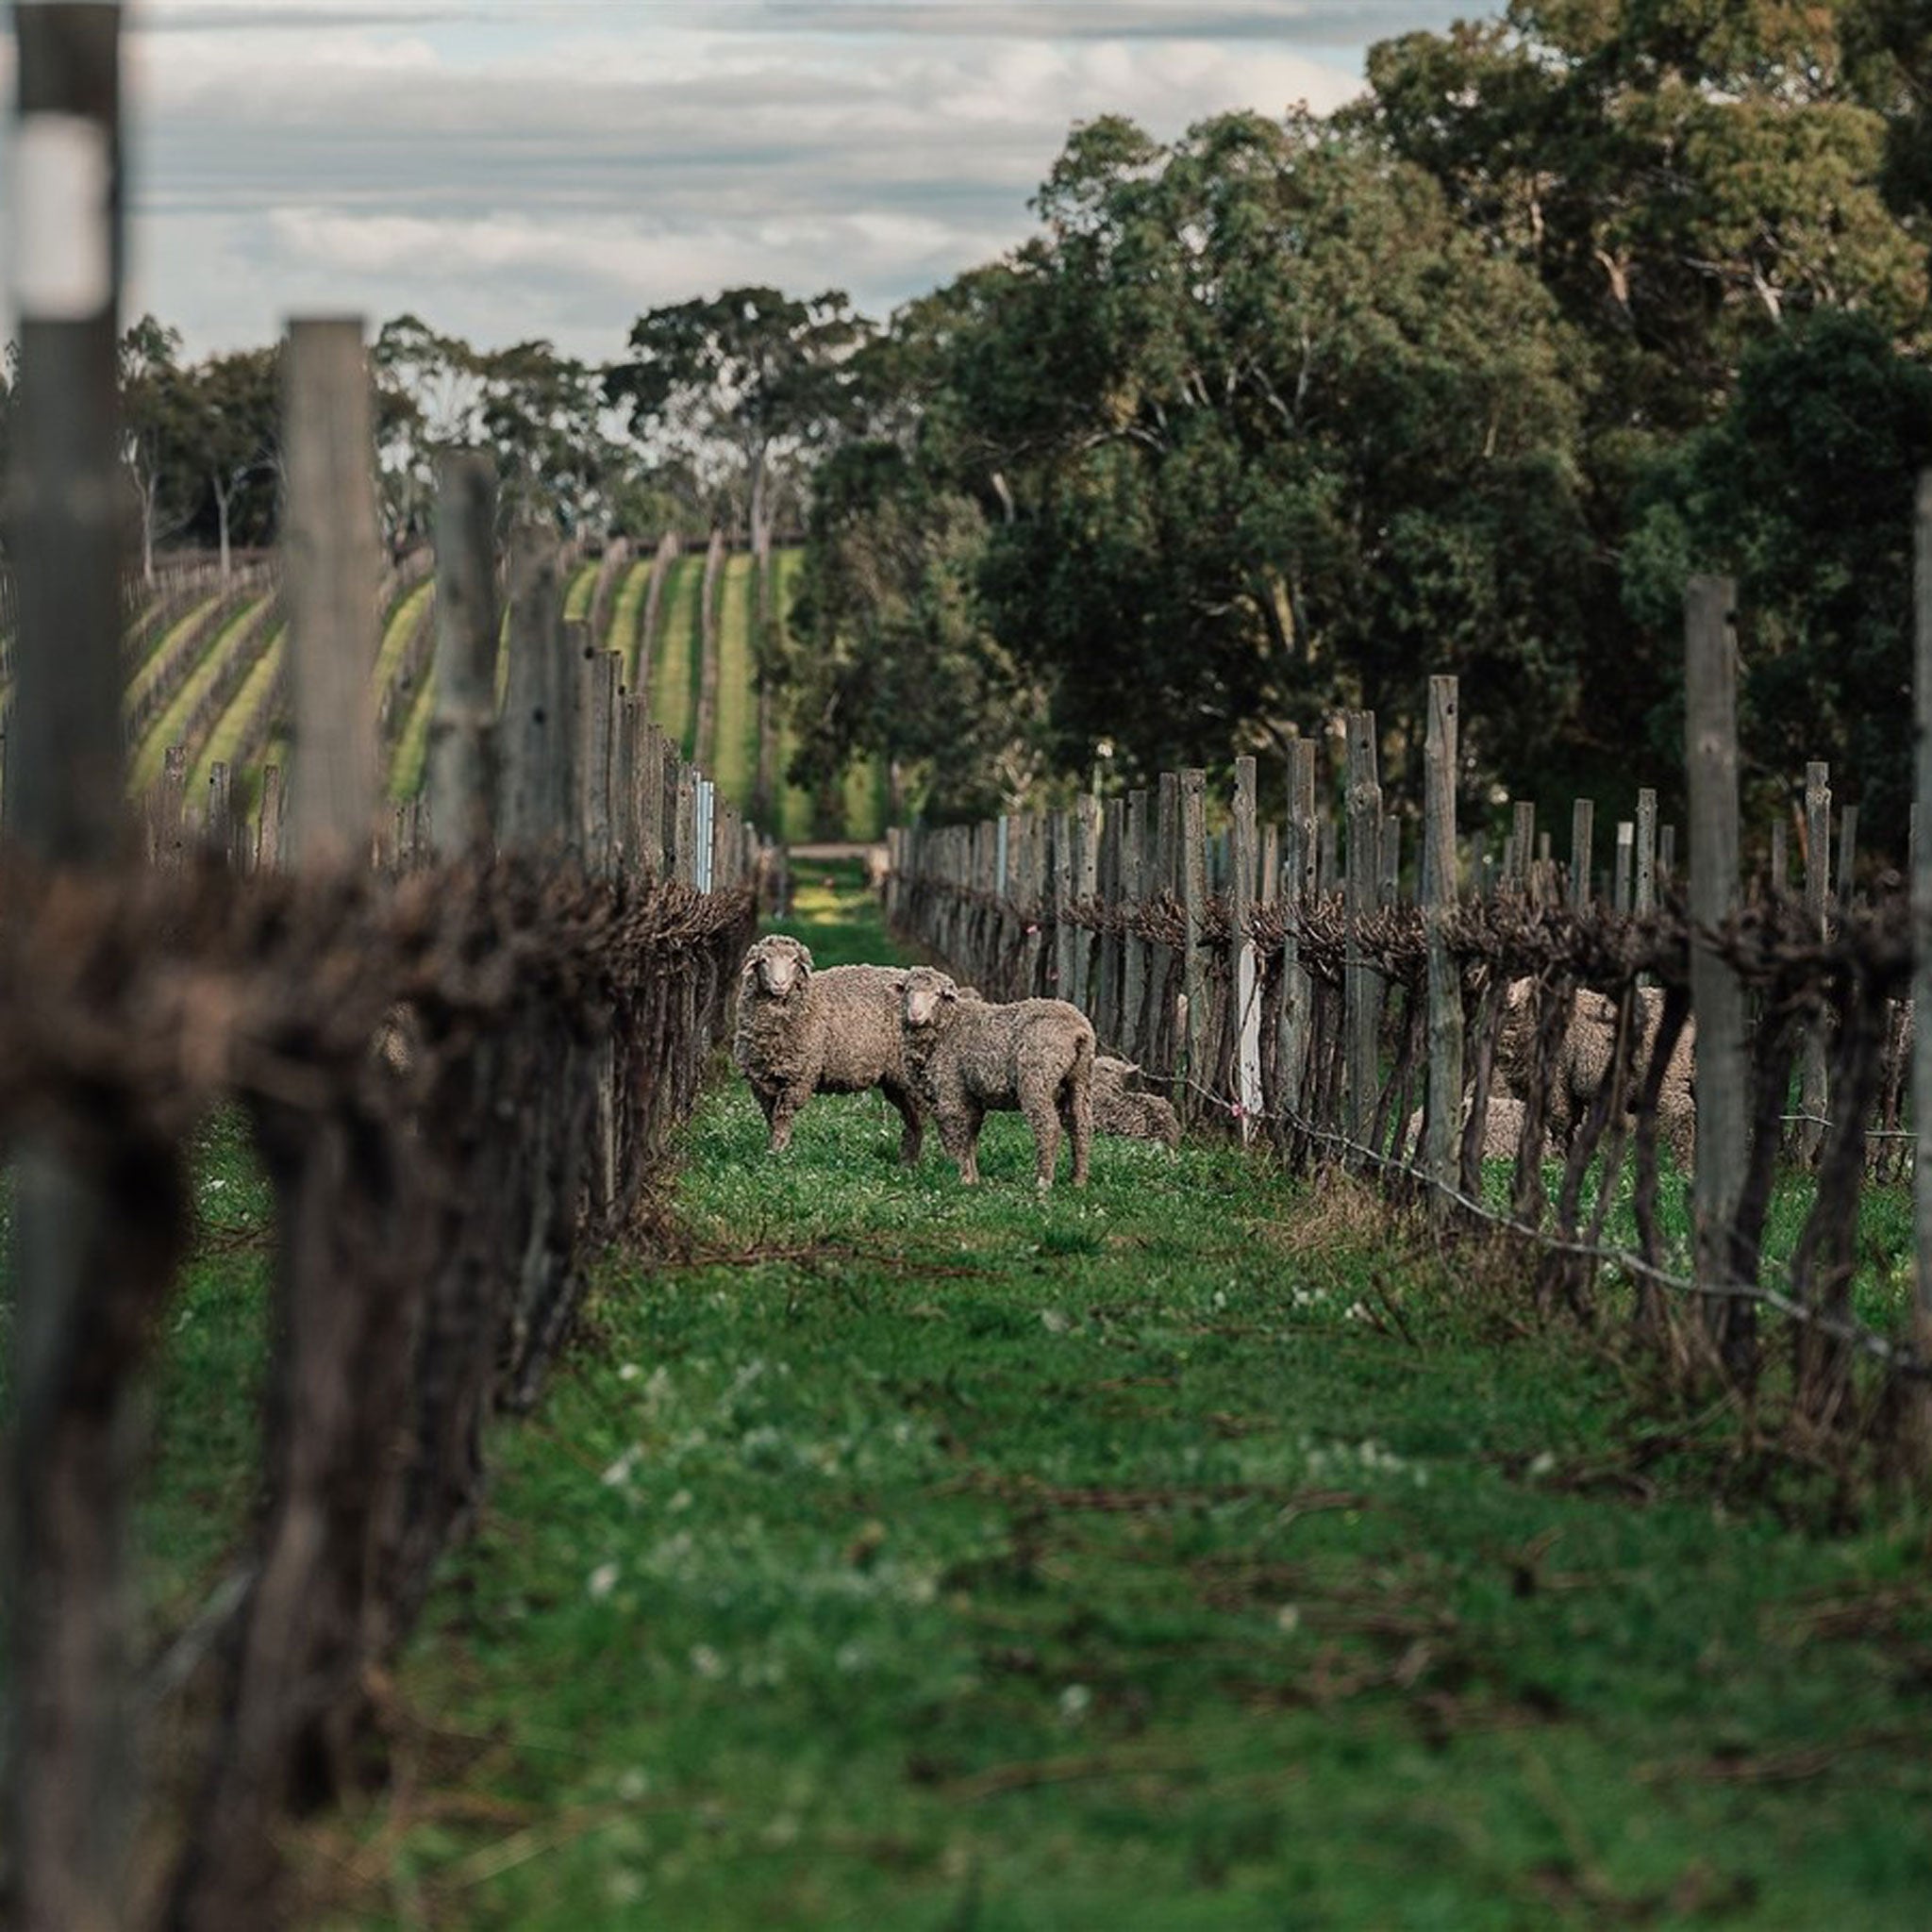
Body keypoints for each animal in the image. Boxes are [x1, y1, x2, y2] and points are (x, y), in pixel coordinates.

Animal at [730, 935, 927, 1158]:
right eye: (763, 960)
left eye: (794, 961)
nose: (779, 983)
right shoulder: (761, 1082)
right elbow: (771, 1118)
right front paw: (772, 1151)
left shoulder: (798, 1077)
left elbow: (782, 1118)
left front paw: (778, 1154)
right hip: (897, 1081)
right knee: (912, 1120)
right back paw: (907, 1162)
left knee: (918, 1119)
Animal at [896, 961, 1097, 1182]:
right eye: (908, 990)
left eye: (936, 994)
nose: (915, 1015)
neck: (948, 1026)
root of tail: (1079, 1031)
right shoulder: (972, 1098)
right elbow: (971, 1136)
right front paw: (973, 1179)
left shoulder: (951, 1091)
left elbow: (957, 1135)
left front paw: (961, 1177)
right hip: (1079, 1080)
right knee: (1080, 1125)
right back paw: (1078, 1180)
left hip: (1038, 1078)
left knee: (1048, 1125)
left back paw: (1043, 1180)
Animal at [1491, 981, 1692, 1158]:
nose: (1509, 997)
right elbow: (1571, 1123)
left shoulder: (1556, 1081)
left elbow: (1560, 1122)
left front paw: (1557, 1160)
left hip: (1672, 1073)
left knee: (1683, 1115)